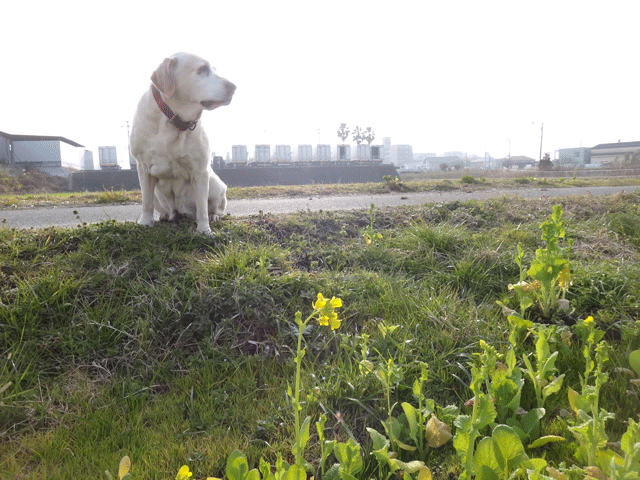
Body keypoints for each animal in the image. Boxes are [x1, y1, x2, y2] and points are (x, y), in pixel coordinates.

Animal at [131, 52, 236, 232]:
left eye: (215, 70)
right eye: (202, 69)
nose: (233, 87)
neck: (174, 120)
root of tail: (179, 212)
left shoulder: (201, 171)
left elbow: (202, 206)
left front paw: (204, 230)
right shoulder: (143, 166)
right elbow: (146, 203)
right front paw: (145, 222)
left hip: (216, 185)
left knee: (215, 207)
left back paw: (213, 216)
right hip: (157, 195)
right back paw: (164, 216)